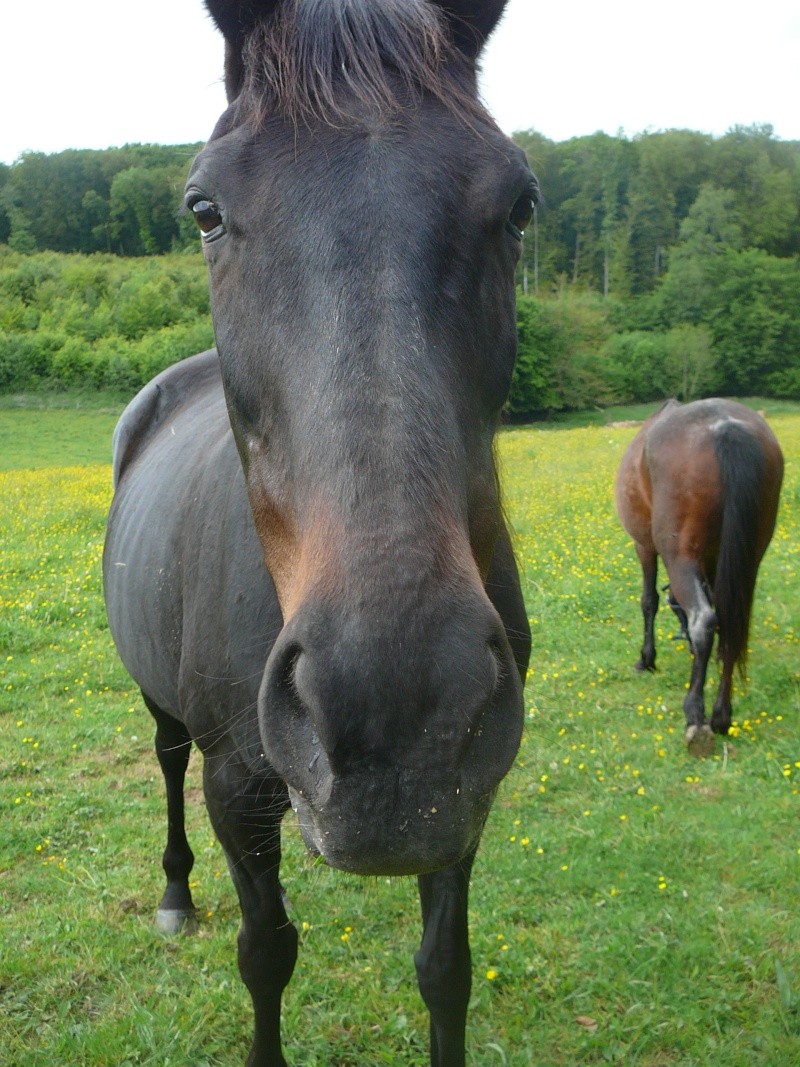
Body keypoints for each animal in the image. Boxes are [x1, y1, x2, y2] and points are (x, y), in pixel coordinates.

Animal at [101, 4, 539, 1062]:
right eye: (204, 209)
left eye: (519, 206)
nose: (396, 707)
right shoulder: (237, 789)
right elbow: (267, 953)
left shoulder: (464, 793)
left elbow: (445, 969)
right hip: (167, 710)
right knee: (165, 759)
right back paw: (175, 893)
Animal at [618, 396, 785, 755]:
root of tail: (724, 428)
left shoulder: (644, 547)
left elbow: (649, 602)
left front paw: (646, 659)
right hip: (749, 556)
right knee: (731, 625)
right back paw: (721, 716)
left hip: (679, 554)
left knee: (705, 621)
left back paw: (696, 715)